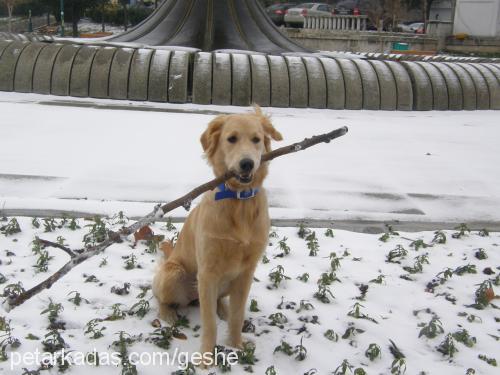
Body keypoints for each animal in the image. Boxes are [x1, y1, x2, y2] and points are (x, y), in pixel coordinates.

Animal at [152, 106, 284, 368]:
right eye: (231, 138)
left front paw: (236, 346)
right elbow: (209, 324)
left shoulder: (246, 272)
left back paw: (222, 307)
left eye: (256, 139)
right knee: (162, 298)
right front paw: (206, 358)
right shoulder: (207, 272)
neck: (239, 201)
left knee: (220, 303)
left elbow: (237, 316)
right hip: (174, 273)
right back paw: (168, 313)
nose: (247, 164)